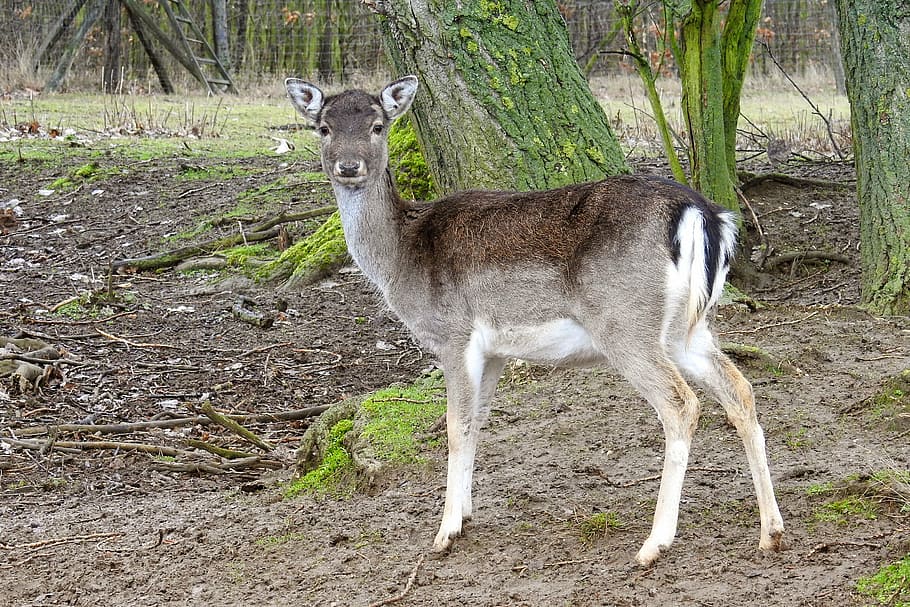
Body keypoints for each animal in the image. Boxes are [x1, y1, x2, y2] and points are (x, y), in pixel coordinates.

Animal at [284, 75, 785, 566]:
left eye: (378, 126)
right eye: (323, 127)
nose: (349, 166)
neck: (402, 257)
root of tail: (707, 216)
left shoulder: (454, 336)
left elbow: (455, 426)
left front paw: (445, 532)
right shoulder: (494, 352)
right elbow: (478, 420)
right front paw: (466, 513)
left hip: (625, 324)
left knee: (681, 404)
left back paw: (654, 544)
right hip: (689, 328)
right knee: (740, 390)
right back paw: (771, 531)